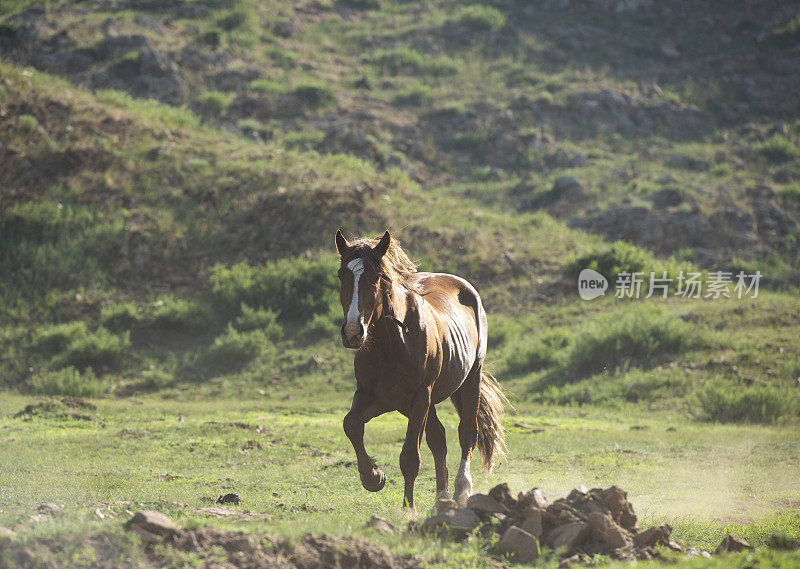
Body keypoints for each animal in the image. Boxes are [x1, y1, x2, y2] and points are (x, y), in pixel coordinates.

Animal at [332, 229, 506, 508]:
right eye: (341, 274)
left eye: (377, 276)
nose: (352, 332)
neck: (392, 345)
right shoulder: (376, 397)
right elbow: (352, 425)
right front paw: (373, 476)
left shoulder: (419, 397)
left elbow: (410, 458)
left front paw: (408, 509)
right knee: (439, 439)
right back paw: (442, 498)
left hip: (470, 381)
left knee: (467, 432)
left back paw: (461, 491)